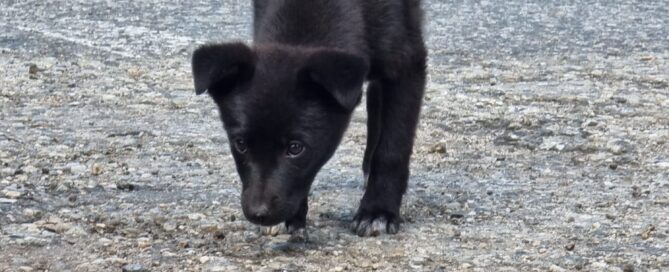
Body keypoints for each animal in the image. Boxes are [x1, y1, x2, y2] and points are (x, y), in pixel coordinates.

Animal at [190, 0, 426, 237]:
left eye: (296, 148)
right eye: (240, 144)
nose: (258, 214)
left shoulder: (407, 61)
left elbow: (392, 148)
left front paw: (378, 211)